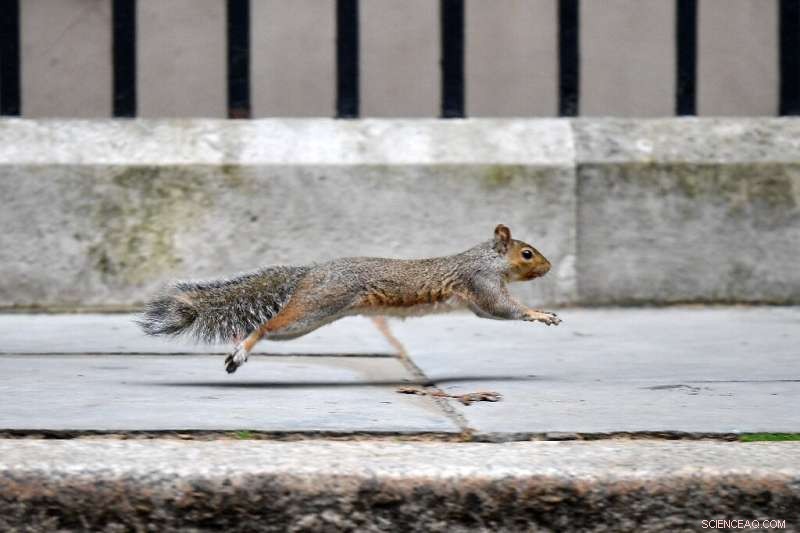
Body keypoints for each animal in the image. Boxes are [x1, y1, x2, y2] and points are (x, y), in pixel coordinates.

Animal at [138, 224, 561, 374]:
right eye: (527, 254)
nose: (549, 265)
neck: (486, 258)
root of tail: (310, 273)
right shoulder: (482, 283)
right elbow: (503, 308)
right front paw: (540, 314)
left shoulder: (475, 296)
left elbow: (489, 314)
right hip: (310, 310)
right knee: (266, 327)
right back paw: (240, 351)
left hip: (314, 314)